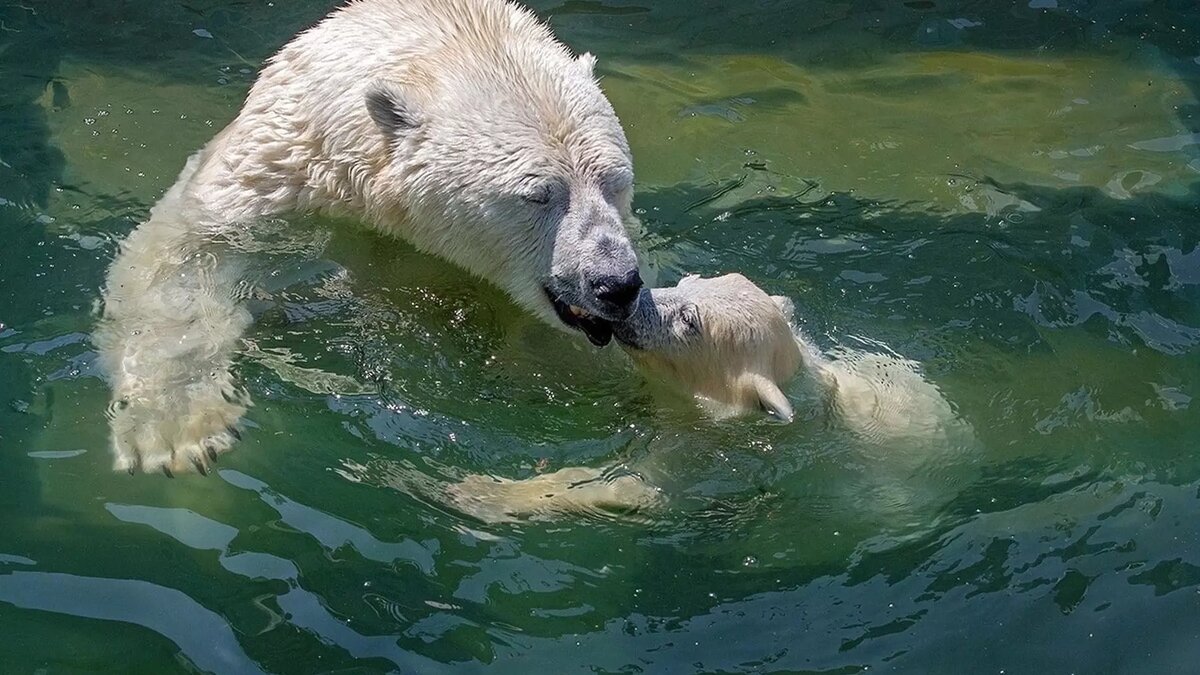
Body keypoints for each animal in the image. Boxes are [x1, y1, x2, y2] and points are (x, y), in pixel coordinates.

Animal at [94, 0, 648, 473]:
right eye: (537, 194)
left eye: (614, 181)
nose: (615, 283)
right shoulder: (279, 175)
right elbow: (185, 257)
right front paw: (179, 433)